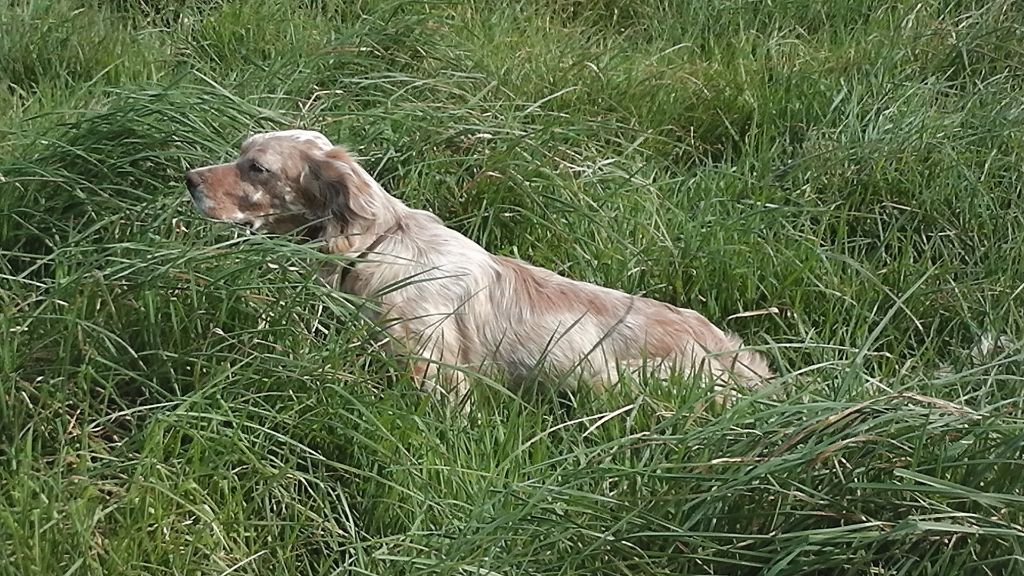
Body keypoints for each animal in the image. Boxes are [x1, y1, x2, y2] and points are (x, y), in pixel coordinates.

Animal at [184, 130, 770, 407]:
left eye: (257, 168)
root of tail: (744, 363)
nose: (188, 179)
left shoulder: (433, 365)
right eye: (240, 153)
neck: (375, 246)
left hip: (611, 377)